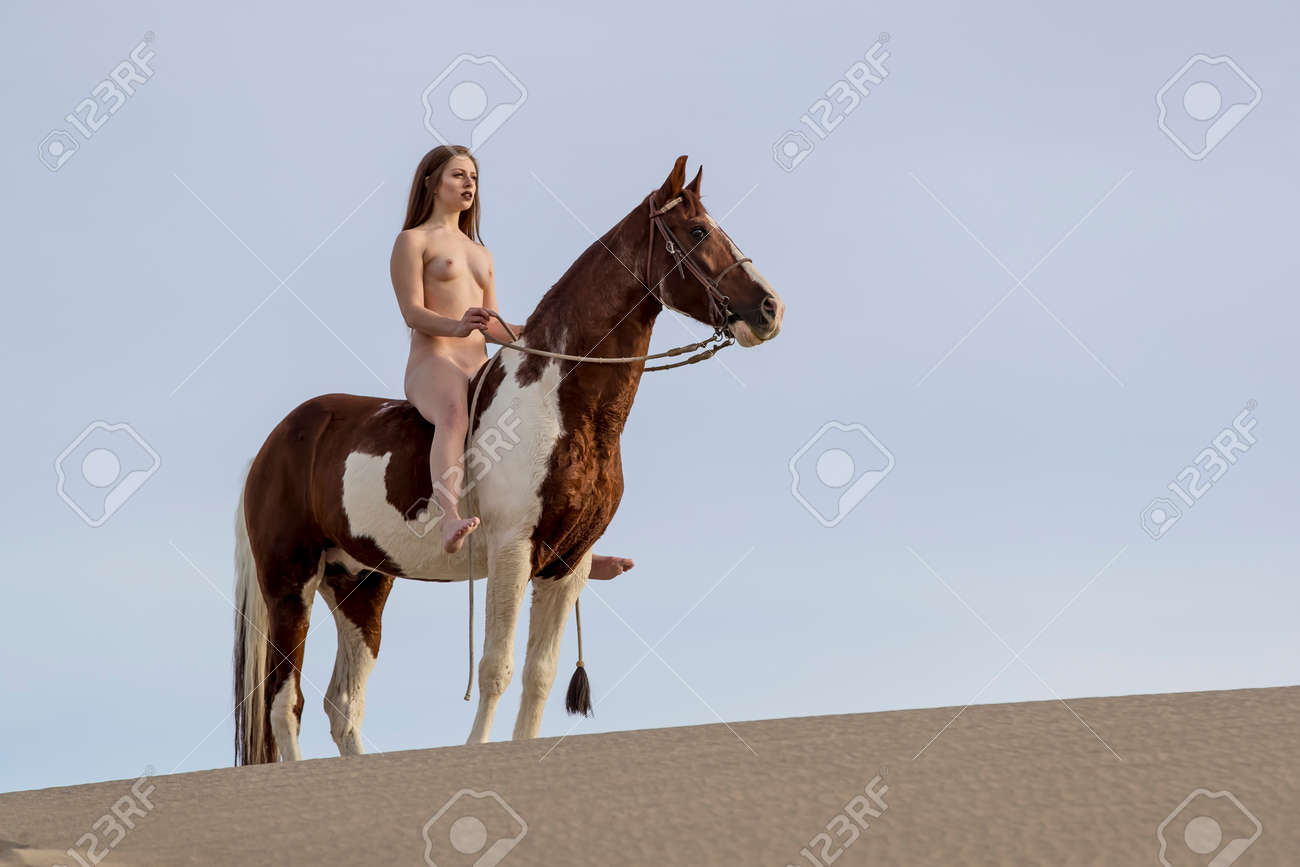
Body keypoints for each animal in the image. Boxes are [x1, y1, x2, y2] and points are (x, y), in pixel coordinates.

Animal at [232, 155, 785, 764]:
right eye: (698, 232)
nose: (769, 308)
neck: (565, 407)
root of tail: (275, 443)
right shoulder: (512, 550)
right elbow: (496, 667)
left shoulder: (568, 565)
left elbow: (538, 676)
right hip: (290, 582)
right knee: (284, 703)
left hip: (359, 587)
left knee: (342, 705)